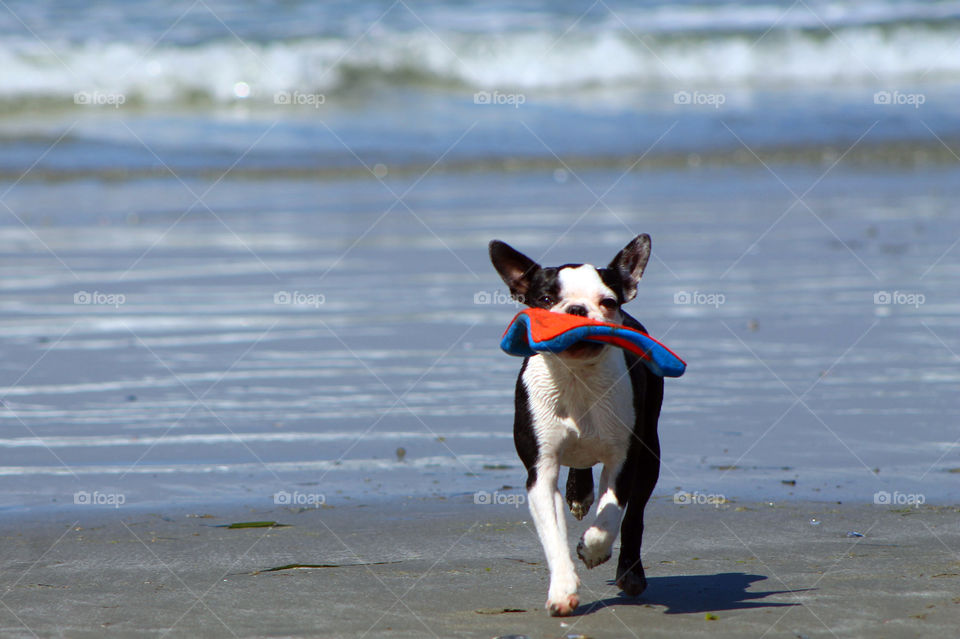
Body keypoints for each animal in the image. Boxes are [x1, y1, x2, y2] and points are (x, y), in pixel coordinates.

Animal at [492, 235, 664, 616]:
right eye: (544, 300)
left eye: (608, 301)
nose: (576, 311)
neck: (576, 377)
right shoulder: (541, 471)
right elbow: (553, 534)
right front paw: (562, 591)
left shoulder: (623, 459)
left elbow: (611, 514)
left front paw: (593, 548)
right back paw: (578, 493)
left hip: (650, 451)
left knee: (635, 515)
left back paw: (631, 573)